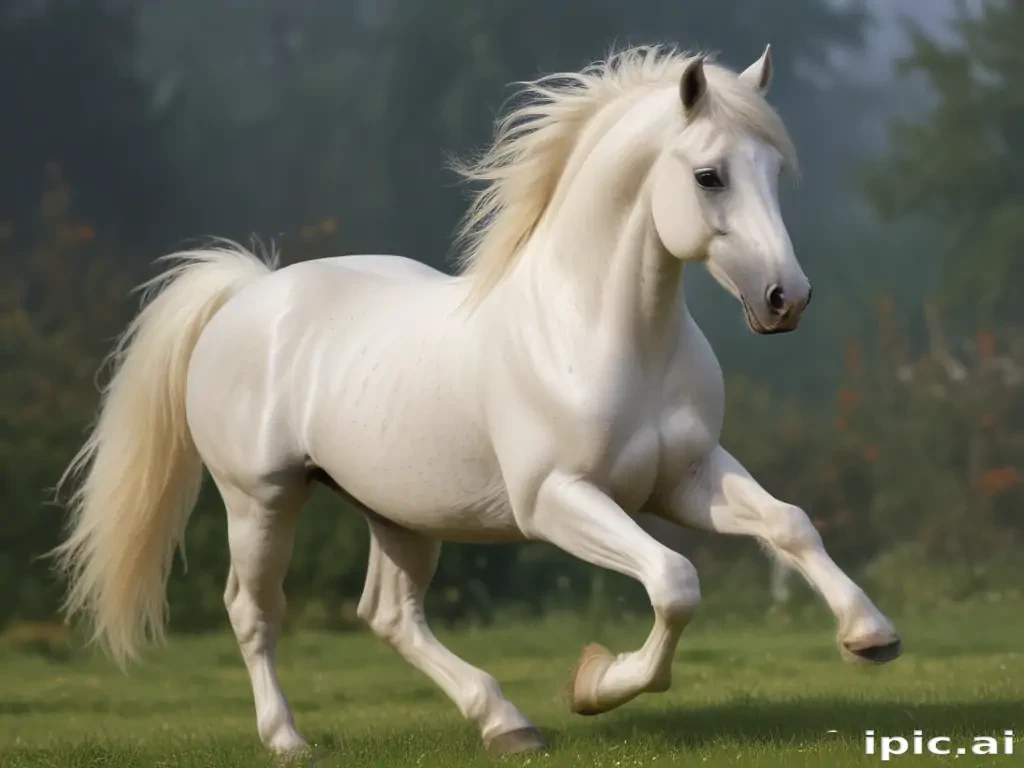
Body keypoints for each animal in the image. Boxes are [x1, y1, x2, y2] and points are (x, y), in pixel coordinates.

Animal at [54, 45, 901, 757]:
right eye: (708, 176)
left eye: (774, 171)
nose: (785, 299)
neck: (602, 332)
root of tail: (248, 293)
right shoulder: (556, 500)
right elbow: (675, 581)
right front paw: (596, 683)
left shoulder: (686, 479)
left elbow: (789, 525)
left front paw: (871, 636)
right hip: (260, 500)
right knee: (252, 610)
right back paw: (289, 740)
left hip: (398, 513)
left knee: (390, 616)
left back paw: (506, 724)